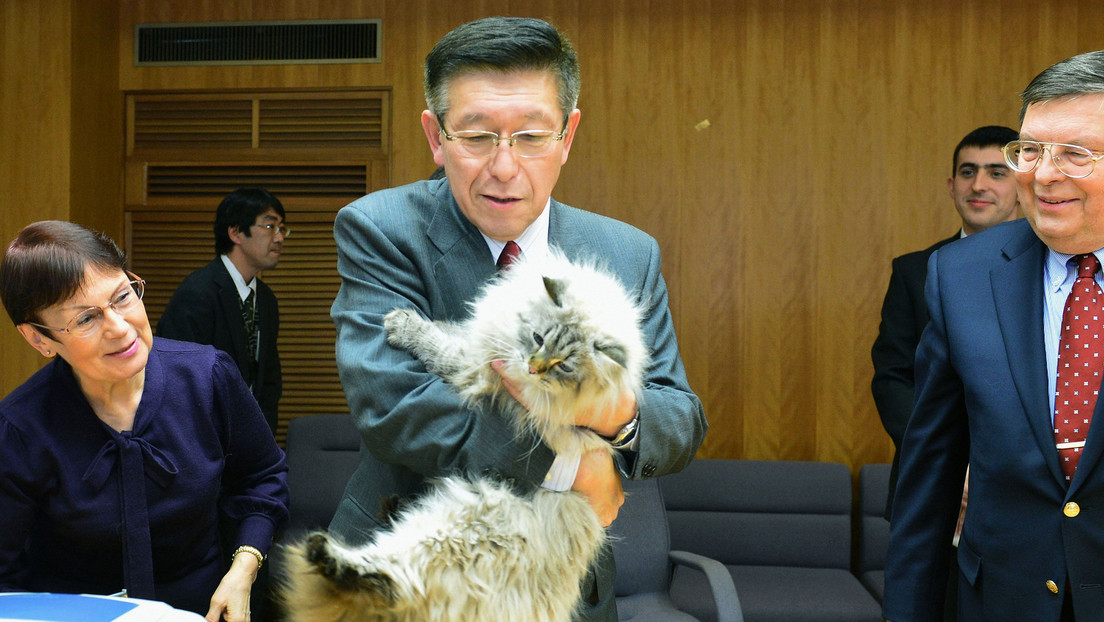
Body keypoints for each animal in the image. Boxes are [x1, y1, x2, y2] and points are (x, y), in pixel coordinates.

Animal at [280, 249, 649, 622]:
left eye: (564, 366)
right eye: (538, 338)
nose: (532, 367)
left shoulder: (474, 368)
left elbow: (436, 346)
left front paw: (400, 323)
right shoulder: (482, 342)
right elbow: (450, 330)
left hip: (462, 533)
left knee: (393, 579)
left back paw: (327, 555)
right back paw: (382, 516)